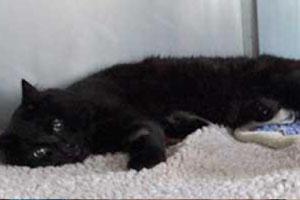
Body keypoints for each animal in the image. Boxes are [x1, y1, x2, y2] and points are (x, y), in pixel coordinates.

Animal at [0, 55, 300, 170]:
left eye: (56, 124)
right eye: (40, 153)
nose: (67, 147)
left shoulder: (134, 119)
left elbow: (146, 132)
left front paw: (145, 161)